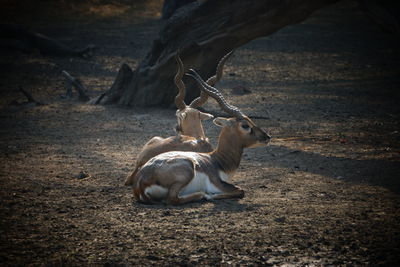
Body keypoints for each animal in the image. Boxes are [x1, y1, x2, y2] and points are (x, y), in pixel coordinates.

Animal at [129, 69, 272, 205]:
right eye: (245, 125)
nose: (267, 136)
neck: (217, 161)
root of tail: (140, 181)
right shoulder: (218, 184)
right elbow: (241, 190)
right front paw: (210, 195)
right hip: (187, 171)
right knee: (172, 199)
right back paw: (202, 195)